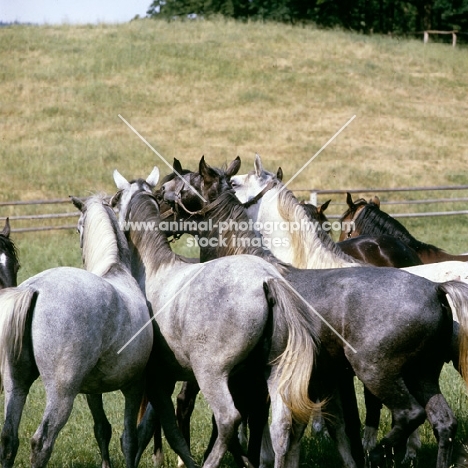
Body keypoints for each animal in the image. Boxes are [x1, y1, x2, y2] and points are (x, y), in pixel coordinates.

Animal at [0, 195, 153, 468]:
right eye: (79, 228)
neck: (116, 269)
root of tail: (34, 289)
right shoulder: (134, 386)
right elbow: (129, 439)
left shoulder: (92, 391)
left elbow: (102, 430)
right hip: (61, 394)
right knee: (41, 442)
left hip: (15, 385)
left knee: (9, 439)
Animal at [111, 170, 320, 468]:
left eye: (116, 200)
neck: (154, 269)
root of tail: (267, 281)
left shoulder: (156, 377)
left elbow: (163, 428)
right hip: (275, 374)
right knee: (281, 426)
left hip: (212, 376)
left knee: (228, 419)